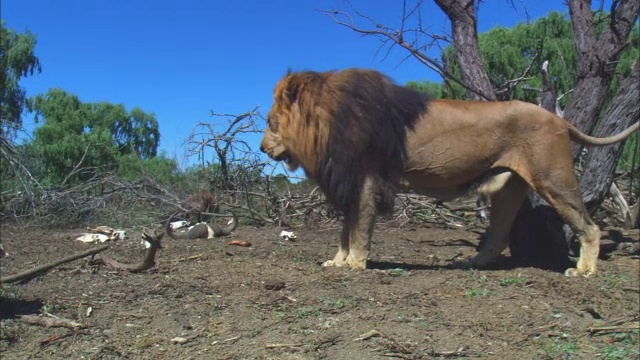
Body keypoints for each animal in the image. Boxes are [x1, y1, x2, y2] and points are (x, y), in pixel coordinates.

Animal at [260, 68, 640, 276]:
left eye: (272, 122)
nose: (263, 148)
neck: (326, 125)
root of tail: (559, 119)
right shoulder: (350, 183)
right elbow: (344, 229)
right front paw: (337, 262)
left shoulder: (366, 180)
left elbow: (359, 229)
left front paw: (355, 263)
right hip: (507, 189)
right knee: (499, 235)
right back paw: (469, 264)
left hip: (553, 179)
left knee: (590, 225)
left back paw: (584, 270)